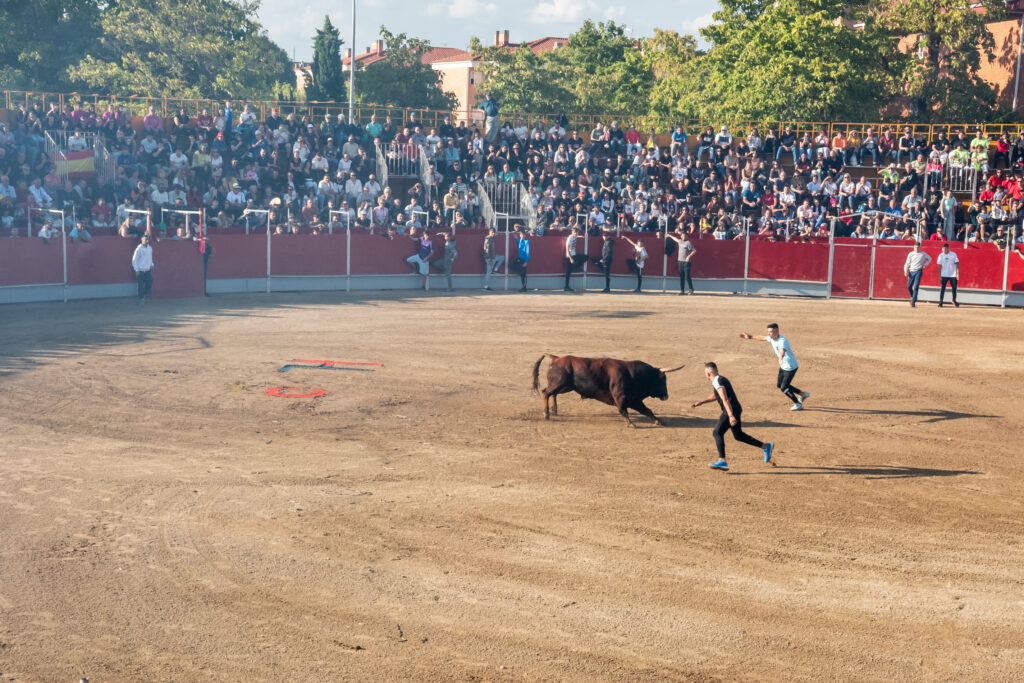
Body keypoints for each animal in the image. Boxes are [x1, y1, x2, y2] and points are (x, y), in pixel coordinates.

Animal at [532, 356, 684, 423]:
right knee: (546, 392)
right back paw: (546, 414)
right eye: (662, 380)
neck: (635, 375)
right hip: (560, 384)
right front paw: (631, 424)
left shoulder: (634, 400)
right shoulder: (622, 398)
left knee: (552, 394)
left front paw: (659, 421)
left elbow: (647, 411)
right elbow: (623, 410)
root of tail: (555, 358)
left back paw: (554, 410)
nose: (666, 396)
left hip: (566, 386)